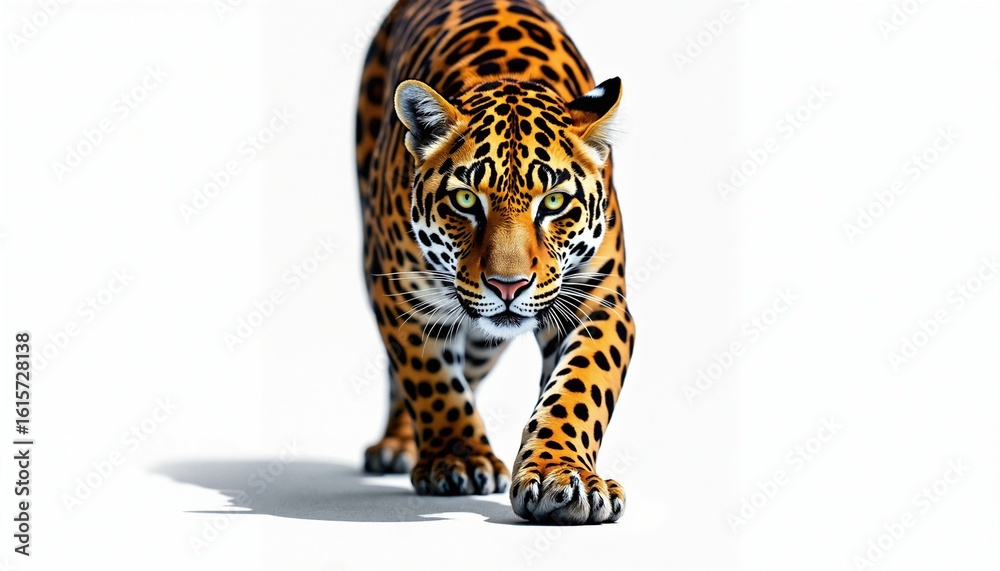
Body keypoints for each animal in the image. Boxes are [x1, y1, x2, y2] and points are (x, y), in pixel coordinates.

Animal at [355, 0, 635, 524]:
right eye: (466, 200)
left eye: (554, 202)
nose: (508, 286)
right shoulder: (403, 295)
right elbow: (430, 380)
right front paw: (458, 459)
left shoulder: (601, 303)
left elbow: (580, 388)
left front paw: (562, 476)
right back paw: (398, 445)